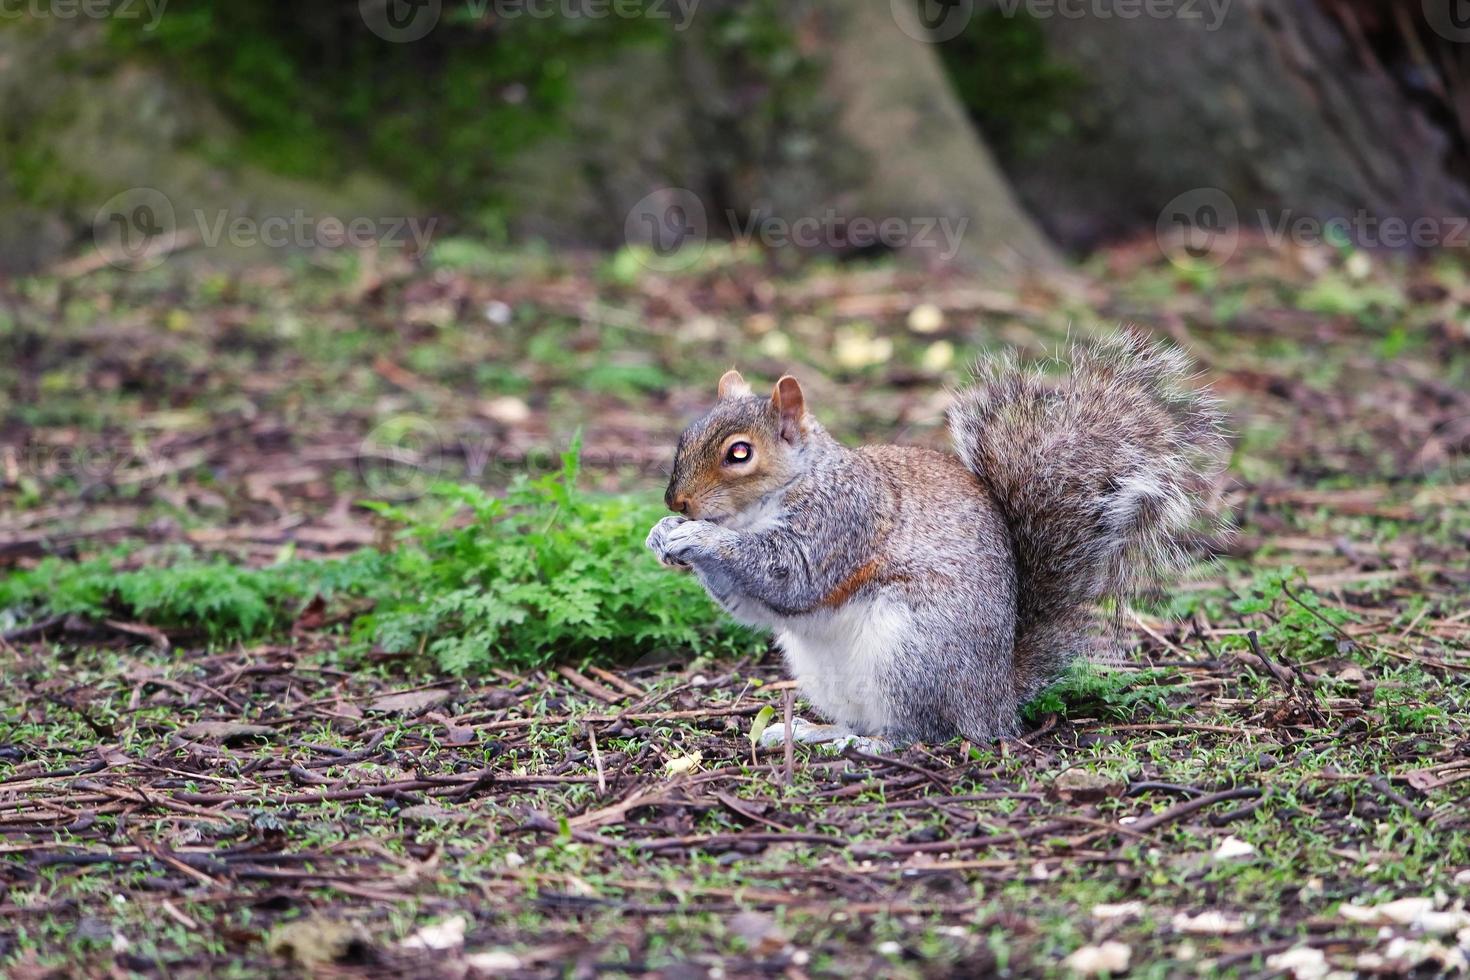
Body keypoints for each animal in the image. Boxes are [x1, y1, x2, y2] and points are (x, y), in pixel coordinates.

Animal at [646, 333, 1228, 746]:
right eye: (685, 436)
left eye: (740, 453)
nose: (678, 503)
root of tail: (995, 702)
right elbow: (751, 604)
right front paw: (664, 533)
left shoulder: (842, 520)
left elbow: (788, 573)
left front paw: (698, 535)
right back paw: (819, 731)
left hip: (913, 654)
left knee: (923, 733)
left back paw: (867, 746)